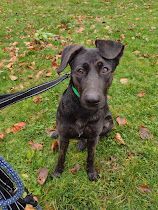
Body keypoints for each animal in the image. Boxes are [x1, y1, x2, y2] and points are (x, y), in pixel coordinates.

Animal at [51, 39, 124, 180]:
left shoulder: (93, 138)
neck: (82, 111)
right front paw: (57, 172)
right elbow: (61, 156)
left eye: (105, 69)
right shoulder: (64, 137)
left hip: (109, 123)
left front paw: (91, 173)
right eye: (80, 70)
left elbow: (91, 157)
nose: (92, 100)